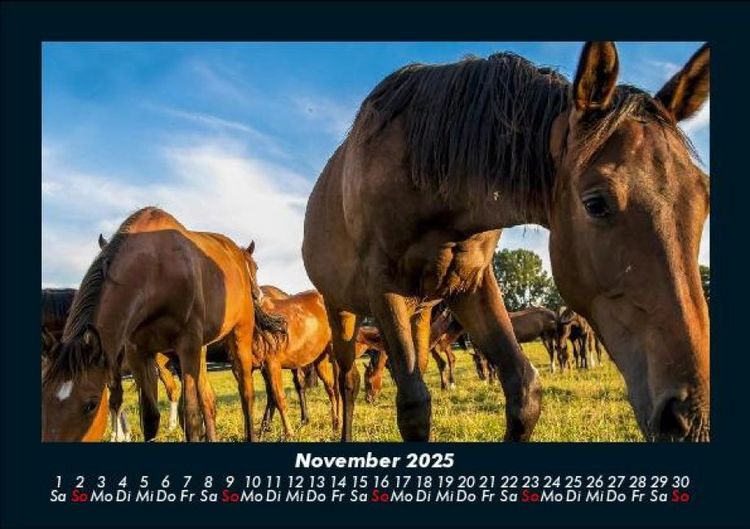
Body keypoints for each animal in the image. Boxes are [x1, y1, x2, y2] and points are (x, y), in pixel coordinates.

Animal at [41, 207, 286, 442]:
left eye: (91, 405)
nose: (258, 294)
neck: (157, 271)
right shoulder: (138, 353)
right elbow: (150, 418)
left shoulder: (186, 346)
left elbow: (191, 418)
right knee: (208, 399)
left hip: (239, 336)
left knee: (246, 393)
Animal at [303, 42, 710, 442]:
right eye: (596, 203)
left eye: (704, 196)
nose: (690, 418)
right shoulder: (384, 289)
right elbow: (414, 408)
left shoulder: (471, 284)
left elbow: (524, 393)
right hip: (342, 310)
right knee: (348, 380)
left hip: (419, 312)